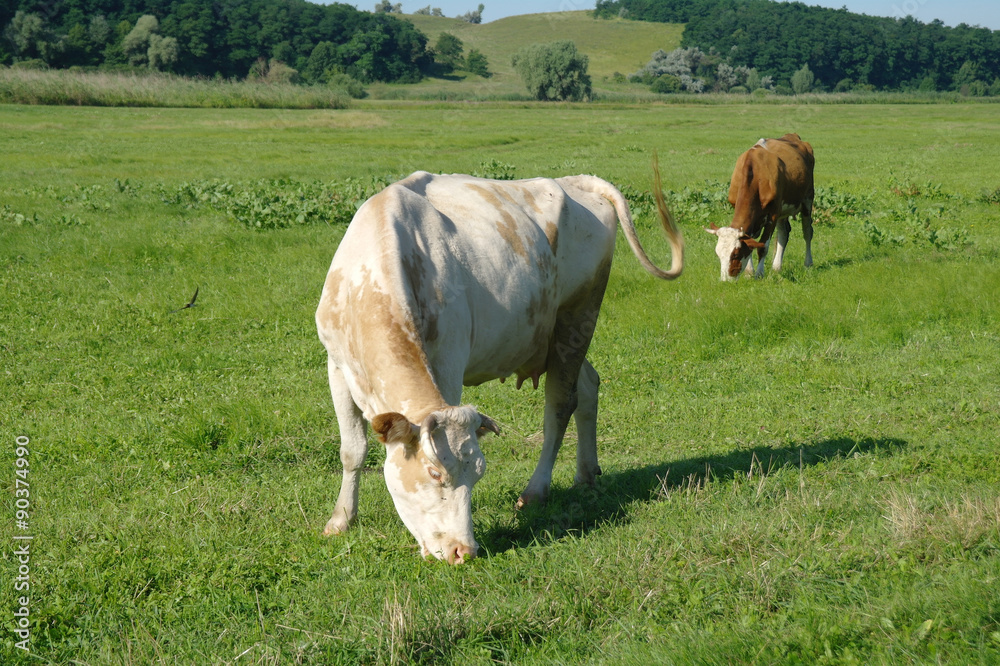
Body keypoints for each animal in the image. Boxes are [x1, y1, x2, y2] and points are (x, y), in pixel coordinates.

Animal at [315, 165, 683, 564]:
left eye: (477, 475)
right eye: (433, 472)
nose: (464, 550)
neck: (369, 280)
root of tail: (575, 181)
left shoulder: (448, 361)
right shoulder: (336, 366)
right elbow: (352, 450)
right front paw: (340, 520)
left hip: (578, 315)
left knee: (560, 404)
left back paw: (536, 489)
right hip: (556, 336)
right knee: (588, 387)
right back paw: (585, 474)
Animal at [706, 133, 815, 281]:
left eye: (735, 254)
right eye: (718, 254)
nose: (725, 280)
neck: (755, 175)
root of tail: (792, 136)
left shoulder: (773, 214)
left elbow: (763, 246)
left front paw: (759, 273)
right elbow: (751, 241)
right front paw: (749, 272)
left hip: (807, 199)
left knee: (807, 232)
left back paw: (808, 263)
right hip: (783, 210)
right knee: (783, 233)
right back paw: (776, 267)